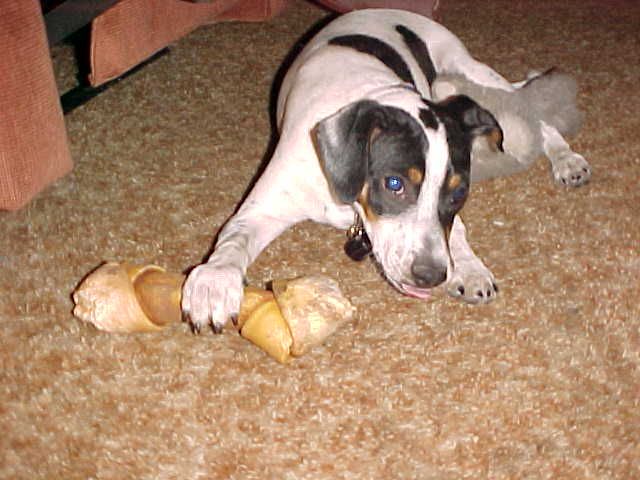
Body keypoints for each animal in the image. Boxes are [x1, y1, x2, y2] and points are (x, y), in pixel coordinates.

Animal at [180, 9, 592, 332]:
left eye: (458, 193)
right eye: (394, 184)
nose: (430, 275)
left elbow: (456, 230)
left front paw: (470, 267)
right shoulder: (262, 208)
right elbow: (232, 241)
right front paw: (214, 281)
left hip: (469, 71)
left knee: (533, 113)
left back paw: (566, 159)